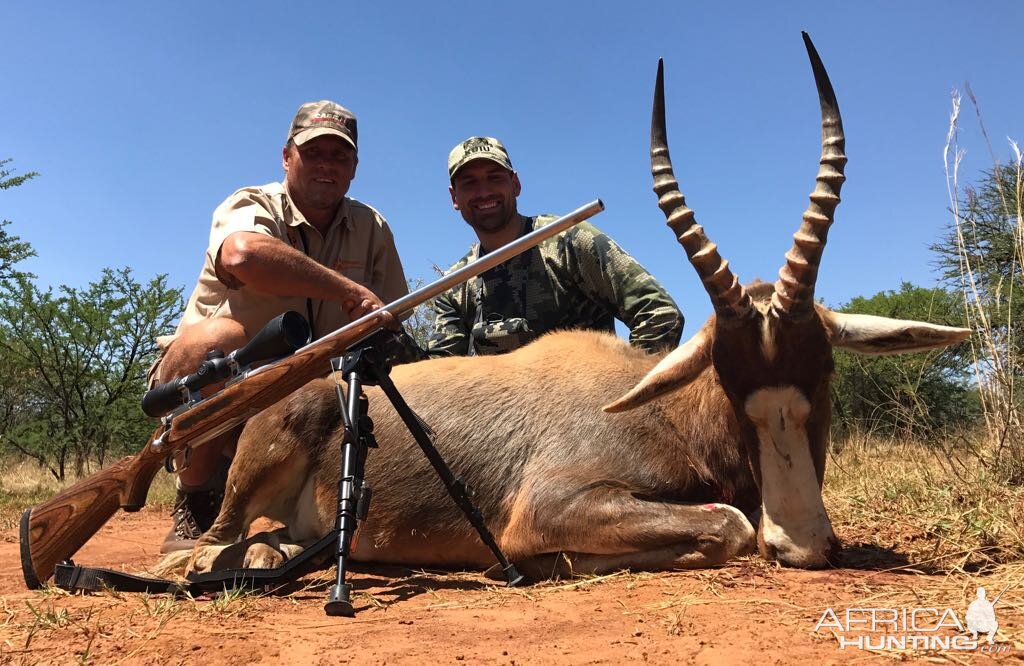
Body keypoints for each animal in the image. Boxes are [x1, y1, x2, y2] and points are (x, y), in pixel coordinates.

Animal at [159, 33, 966, 577]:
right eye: (730, 380)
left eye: (824, 372)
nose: (801, 542)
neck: (661, 409)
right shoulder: (551, 505)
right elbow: (731, 523)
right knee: (210, 545)